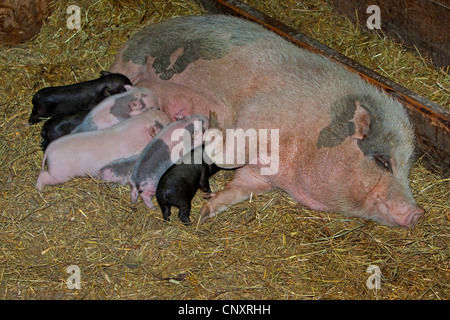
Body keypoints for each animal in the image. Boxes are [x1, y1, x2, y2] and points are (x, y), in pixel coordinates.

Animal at [35, 110, 171, 190]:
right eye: (164, 123)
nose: (170, 117)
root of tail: (49, 150)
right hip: (60, 173)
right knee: (43, 176)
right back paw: (39, 189)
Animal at [110, 14, 426, 228]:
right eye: (383, 161)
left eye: (407, 169)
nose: (417, 213)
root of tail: (148, 28)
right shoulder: (256, 119)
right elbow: (228, 154)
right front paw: (213, 125)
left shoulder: (262, 177)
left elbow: (240, 189)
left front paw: (207, 211)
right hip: (133, 58)